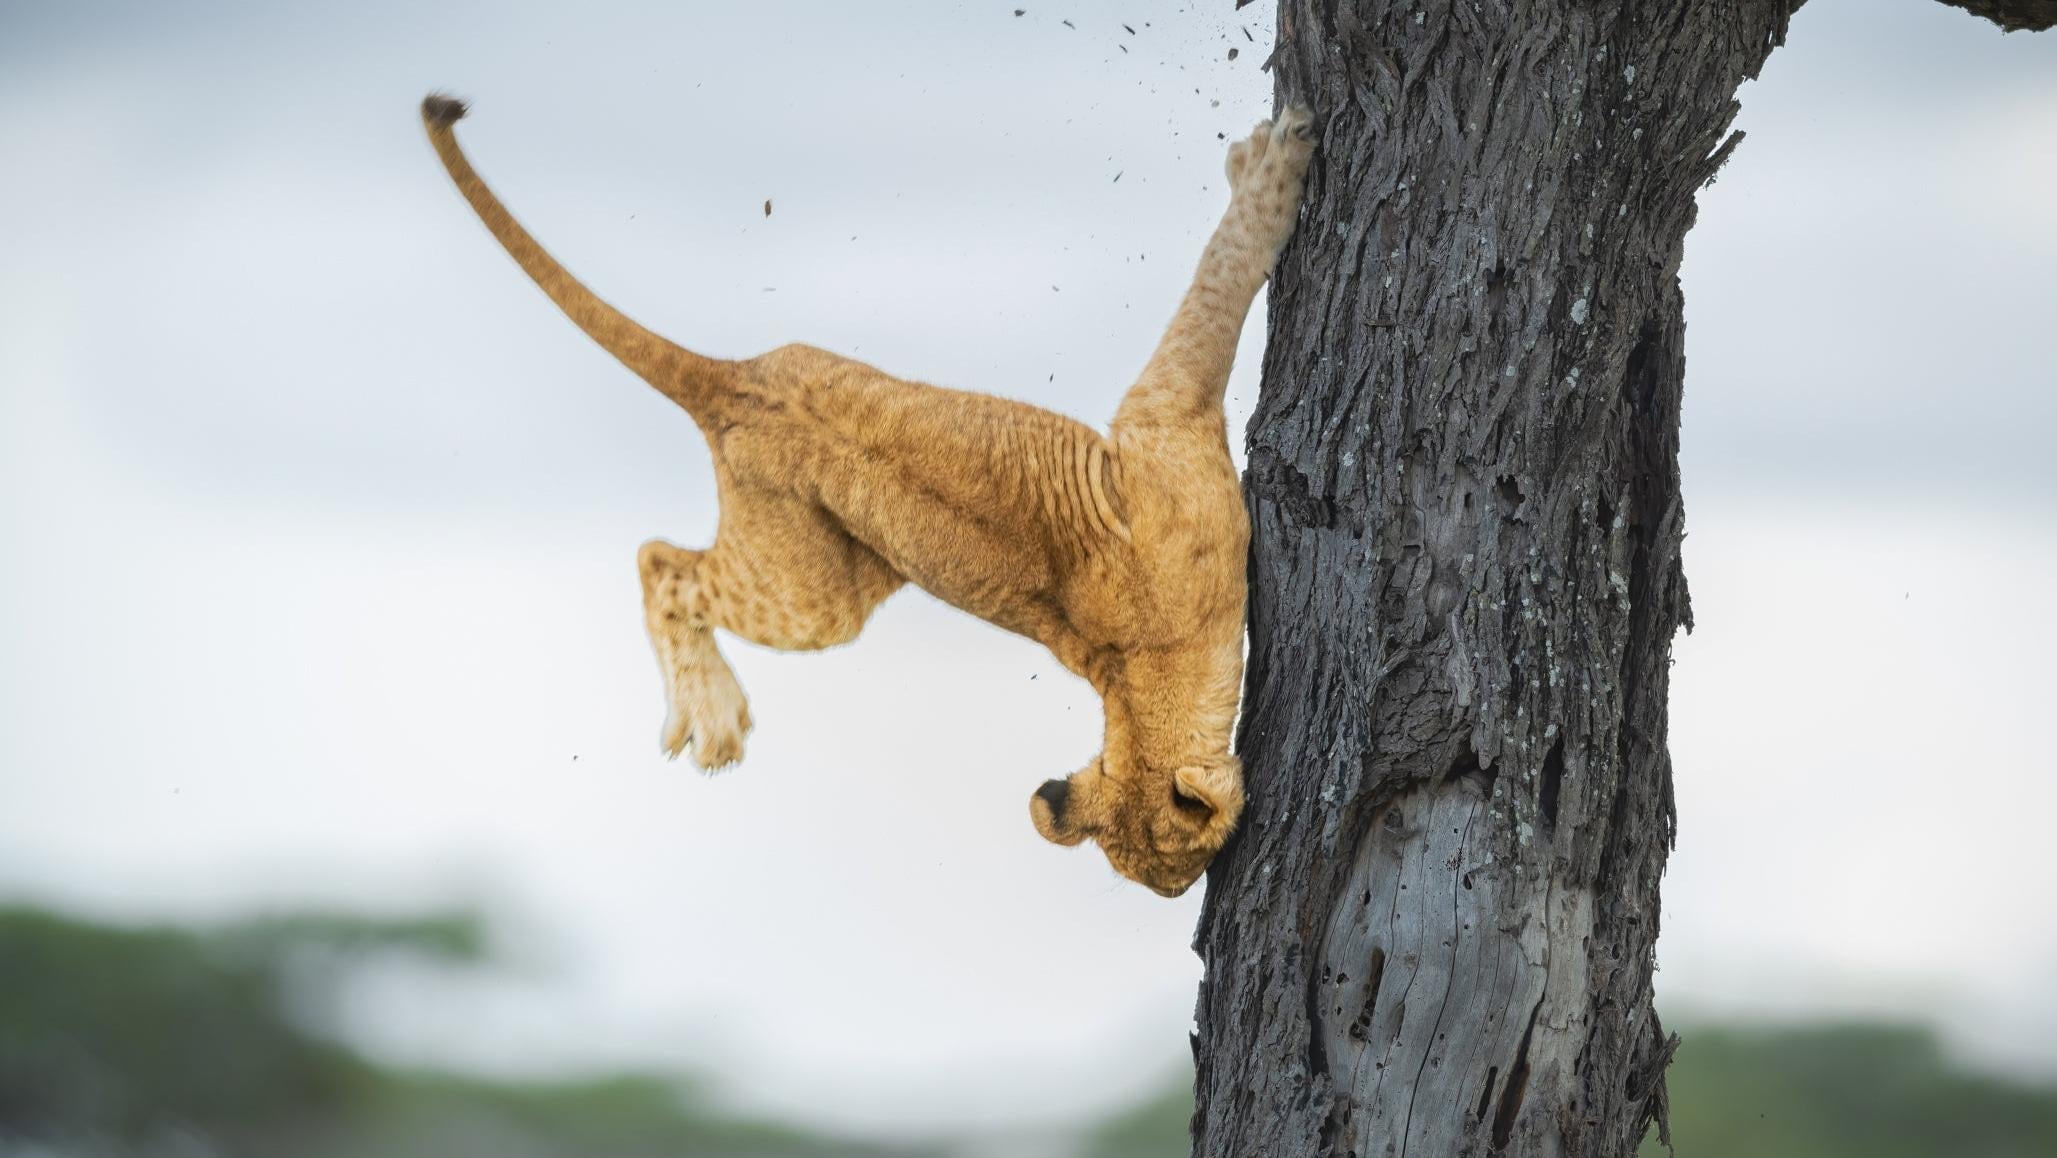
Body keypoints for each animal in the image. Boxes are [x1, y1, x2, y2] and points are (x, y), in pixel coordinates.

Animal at [422, 93, 1314, 896]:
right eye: (1180, 875)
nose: (1178, 905)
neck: (1133, 685)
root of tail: (726, 383)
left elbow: (1212, 288)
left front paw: (1259, 161)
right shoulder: (1162, 423)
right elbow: (1215, 289)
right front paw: (1269, 168)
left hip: (861, 553)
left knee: (667, 554)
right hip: (813, 600)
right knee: (659, 563)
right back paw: (710, 719)